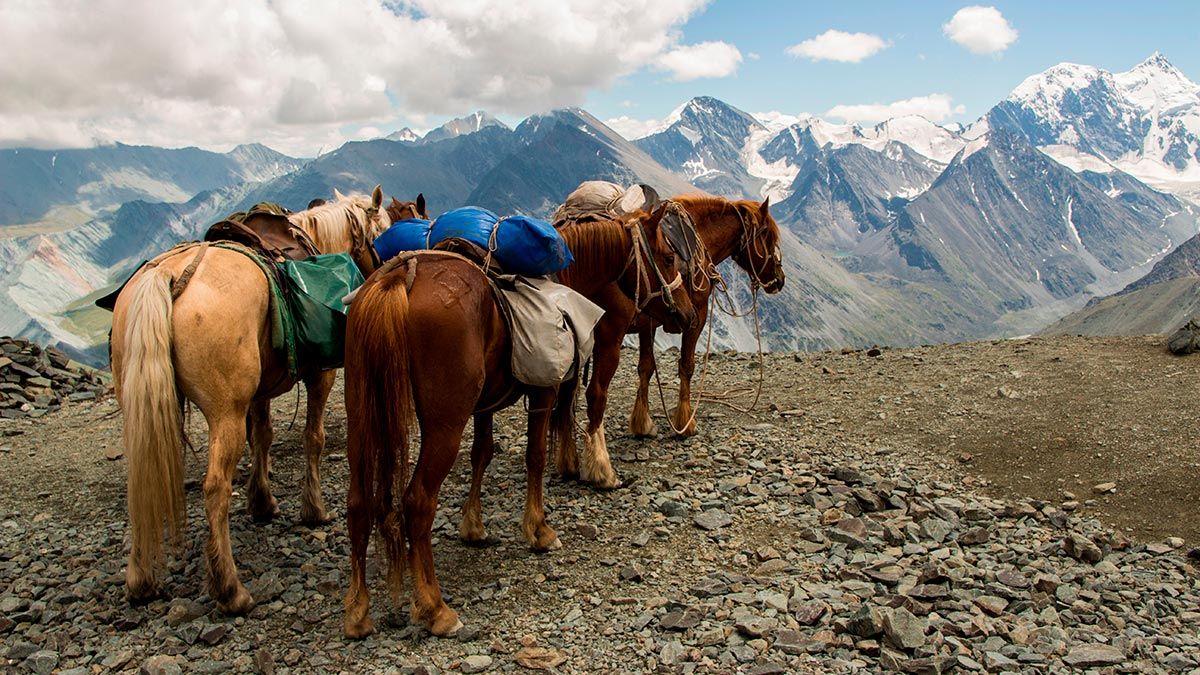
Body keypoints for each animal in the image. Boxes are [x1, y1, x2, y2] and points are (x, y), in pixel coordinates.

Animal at [109, 186, 398, 612]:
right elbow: (313, 438)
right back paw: (231, 589)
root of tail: (168, 275)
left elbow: (262, 435)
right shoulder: (321, 375)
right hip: (224, 413)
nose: (381, 267)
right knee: (215, 487)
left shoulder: (259, 390)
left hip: (140, 410)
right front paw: (314, 509)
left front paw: (262, 502)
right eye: (381, 232)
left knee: (141, 481)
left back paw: (141, 580)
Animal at [340, 205, 696, 634]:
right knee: (418, 502)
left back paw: (358, 612)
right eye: (668, 257)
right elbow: (536, 457)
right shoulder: (544, 390)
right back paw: (434, 608)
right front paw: (539, 530)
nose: (688, 314)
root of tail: (398, 280)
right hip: (444, 424)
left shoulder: (483, 406)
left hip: (362, 417)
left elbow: (482, 454)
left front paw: (473, 527)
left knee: (358, 504)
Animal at [547, 192, 787, 485]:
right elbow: (687, 366)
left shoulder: (648, 325)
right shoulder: (697, 317)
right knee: (595, 394)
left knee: (568, 394)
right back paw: (601, 468)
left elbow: (646, 368)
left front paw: (642, 423)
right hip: (609, 339)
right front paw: (685, 422)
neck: (700, 235)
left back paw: (568, 461)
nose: (779, 280)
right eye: (768, 237)